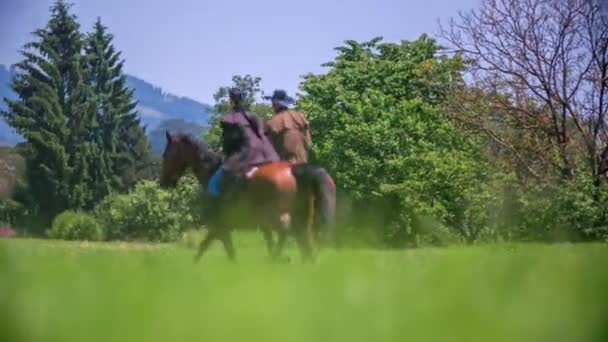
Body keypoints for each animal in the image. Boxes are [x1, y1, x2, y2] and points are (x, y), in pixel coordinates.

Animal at [159, 132, 334, 264]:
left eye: (166, 154)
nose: (164, 182)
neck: (211, 172)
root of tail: (293, 169)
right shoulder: (224, 228)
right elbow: (209, 249)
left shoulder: (219, 227)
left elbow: (217, 250)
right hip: (300, 219)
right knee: (303, 240)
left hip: (277, 218)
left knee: (290, 234)